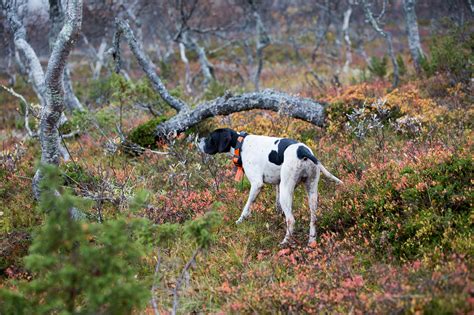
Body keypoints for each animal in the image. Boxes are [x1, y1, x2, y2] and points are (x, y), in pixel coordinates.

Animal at [198, 129, 342, 247]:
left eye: (210, 137)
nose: (198, 140)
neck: (241, 144)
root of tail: (303, 151)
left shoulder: (256, 184)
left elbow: (247, 206)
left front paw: (240, 220)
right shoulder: (278, 184)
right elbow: (277, 206)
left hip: (287, 191)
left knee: (291, 220)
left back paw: (285, 242)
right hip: (311, 191)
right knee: (313, 219)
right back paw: (311, 241)